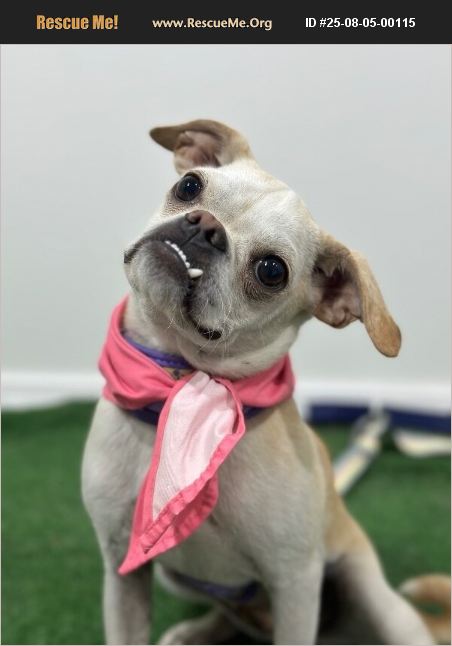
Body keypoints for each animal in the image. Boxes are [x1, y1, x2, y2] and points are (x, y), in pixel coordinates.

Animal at [82, 119, 450, 645]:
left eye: (271, 270)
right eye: (189, 185)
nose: (205, 226)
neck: (181, 383)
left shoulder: (295, 583)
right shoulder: (122, 570)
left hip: (378, 602)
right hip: (180, 579)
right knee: (232, 615)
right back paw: (194, 632)